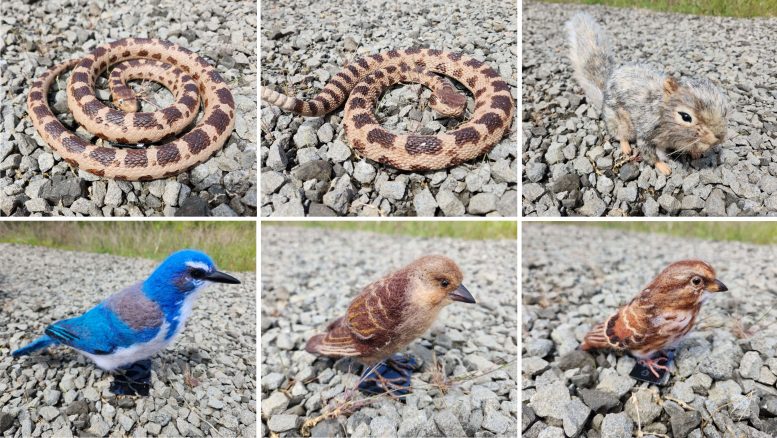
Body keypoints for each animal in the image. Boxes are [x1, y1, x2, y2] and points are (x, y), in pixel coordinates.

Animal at [565, 12, 728, 175]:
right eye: (686, 117)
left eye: (725, 111)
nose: (719, 137)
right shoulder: (646, 131)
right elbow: (648, 152)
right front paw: (662, 166)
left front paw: (695, 152)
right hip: (618, 120)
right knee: (621, 135)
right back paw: (626, 147)